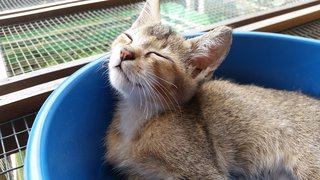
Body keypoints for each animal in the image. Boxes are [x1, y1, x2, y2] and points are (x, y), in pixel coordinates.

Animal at [105, 0, 320, 179]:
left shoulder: (203, 171)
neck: (137, 116)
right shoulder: (135, 173)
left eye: (158, 55)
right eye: (128, 37)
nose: (125, 52)